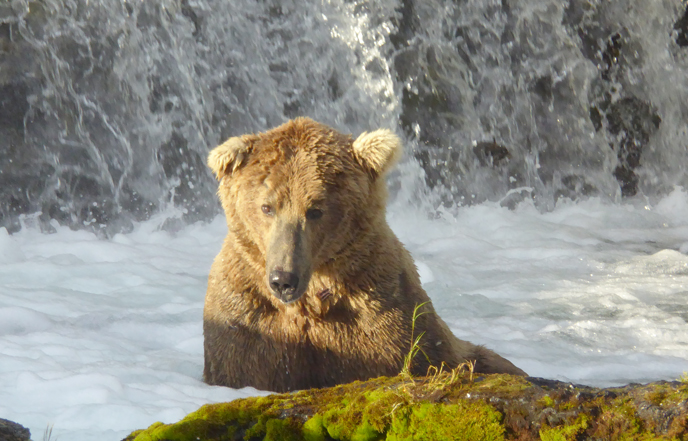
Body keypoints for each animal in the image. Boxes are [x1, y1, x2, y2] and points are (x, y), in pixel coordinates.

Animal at [202, 117, 524, 392]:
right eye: (267, 207)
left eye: (315, 210)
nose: (283, 279)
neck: (312, 300)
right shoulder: (246, 318)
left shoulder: (382, 319)